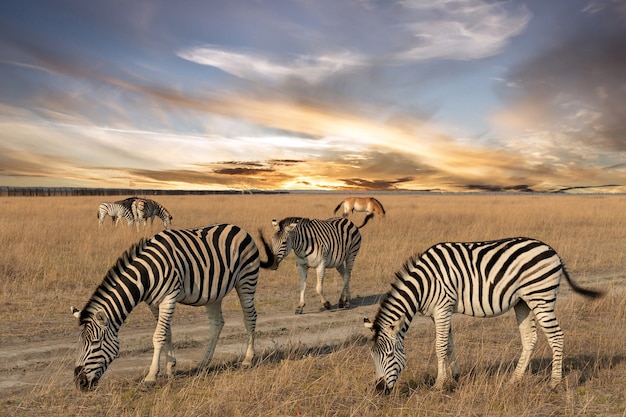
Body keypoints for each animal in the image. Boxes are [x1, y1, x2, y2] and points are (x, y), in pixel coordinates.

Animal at [69, 224, 272, 390]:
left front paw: (151, 376)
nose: (79, 383)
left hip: (246, 280)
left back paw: (248, 359)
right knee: (217, 323)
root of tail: (239, 228)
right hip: (214, 293)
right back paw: (203, 363)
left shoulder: (169, 297)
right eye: (79, 344)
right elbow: (167, 333)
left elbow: (158, 336)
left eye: (95, 343)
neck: (146, 275)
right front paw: (170, 368)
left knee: (250, 317)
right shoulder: (153, 303)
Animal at [364, 236, 604, 392]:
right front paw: (456, 377)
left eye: (389, 355)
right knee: (530, 338)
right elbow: (449, 344)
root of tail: (552, 250)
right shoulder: (440, 312)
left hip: (541, 297)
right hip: (523, 302)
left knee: (556, 336)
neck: (424, 284)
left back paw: (554, 383)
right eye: (373, 356)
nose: (379, 390)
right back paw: (514, 380)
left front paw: (439, 384)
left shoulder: (442, 308)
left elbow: (439, 346)